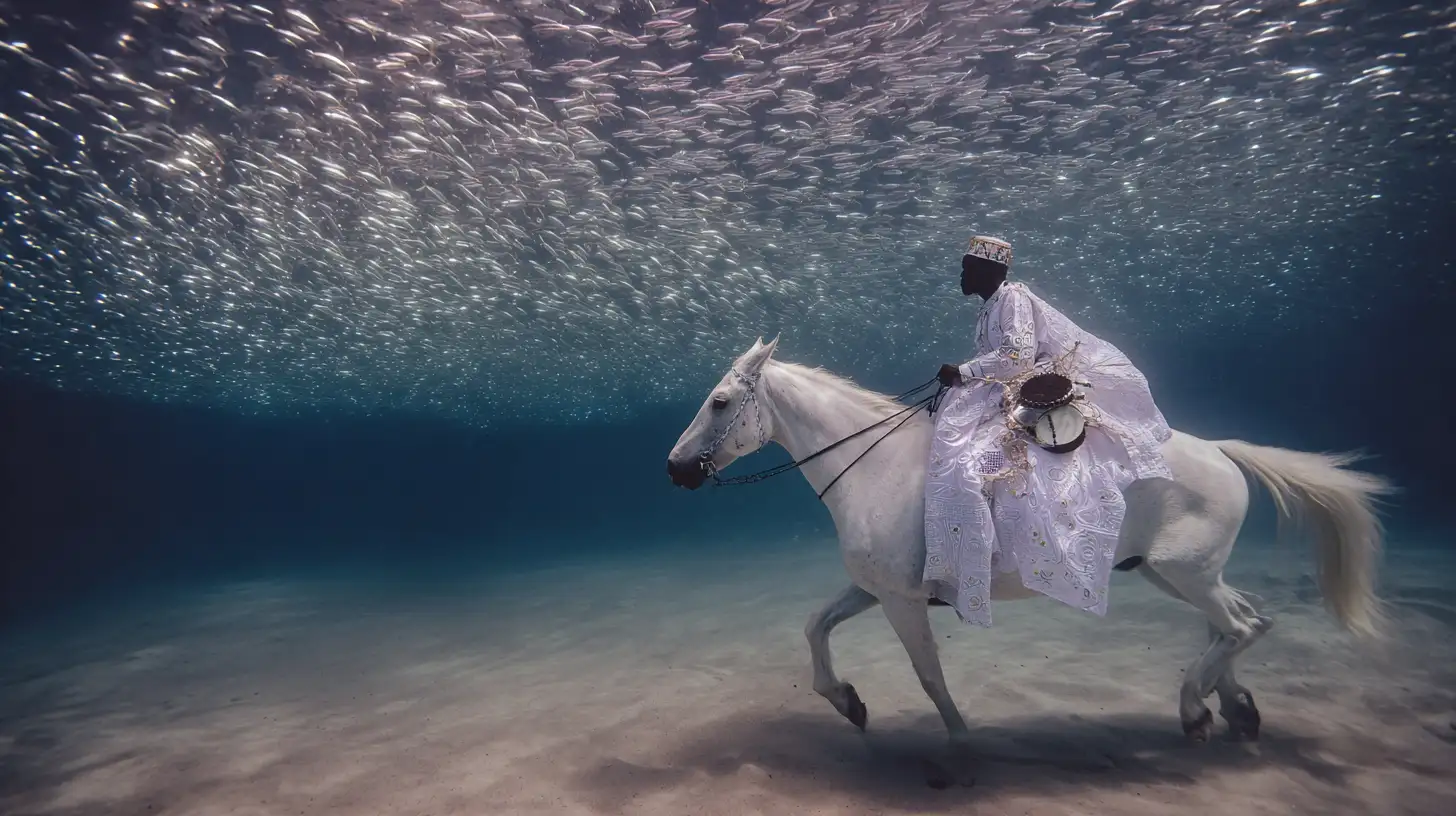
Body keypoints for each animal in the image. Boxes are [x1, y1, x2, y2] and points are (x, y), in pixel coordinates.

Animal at [666, 336, 1394, 761]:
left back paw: (1196, 708)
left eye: (720, 401)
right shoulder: (878, 590)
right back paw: (1233, 707)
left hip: (1183, 573)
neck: (875, 466)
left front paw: (960, 743)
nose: (675, 468)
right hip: (1173, 574)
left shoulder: (901, 603)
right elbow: (816, 626)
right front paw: (847, 701)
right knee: (1240, 623)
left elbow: (929, 676)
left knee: (1240, 626)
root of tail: (1218, 450)